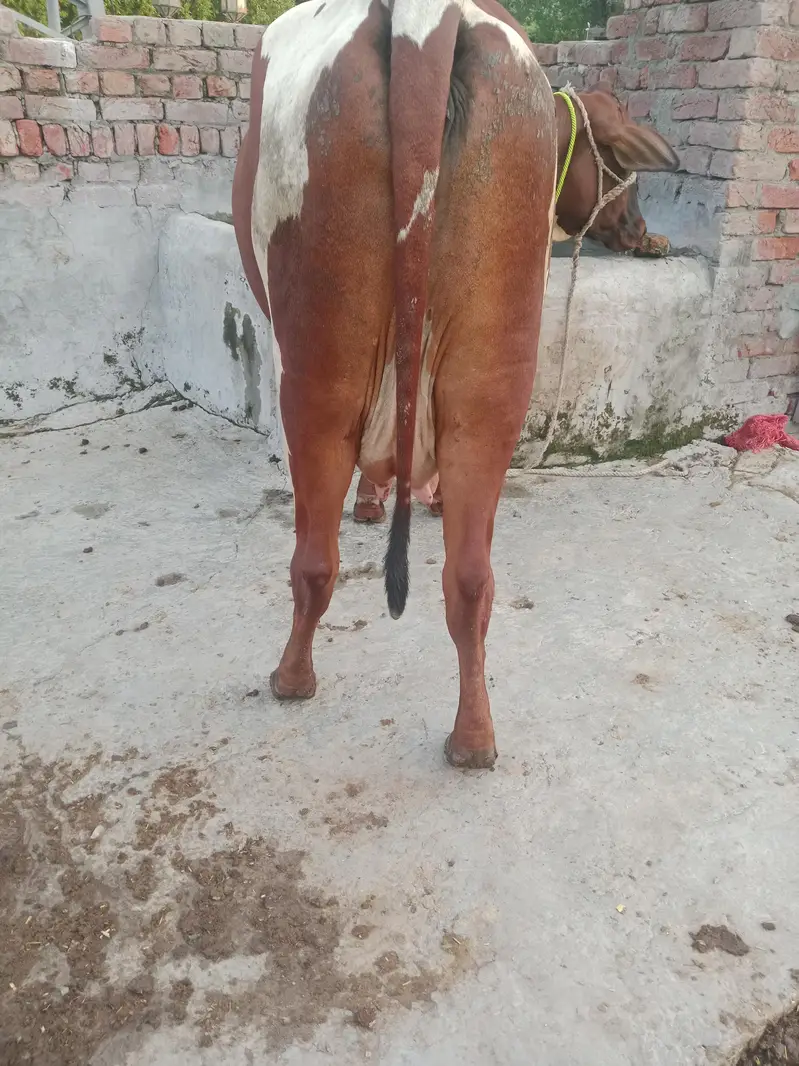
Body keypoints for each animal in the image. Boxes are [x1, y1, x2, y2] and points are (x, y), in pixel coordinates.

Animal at [232, 0, 678, 769]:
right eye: (621, 164)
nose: (645, 232)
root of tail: (425, 17)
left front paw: (374, 500)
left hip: (318, 367)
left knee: (314, 557)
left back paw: (291, 677)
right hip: (489, 374)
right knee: (470, 575)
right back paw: (473, 738)